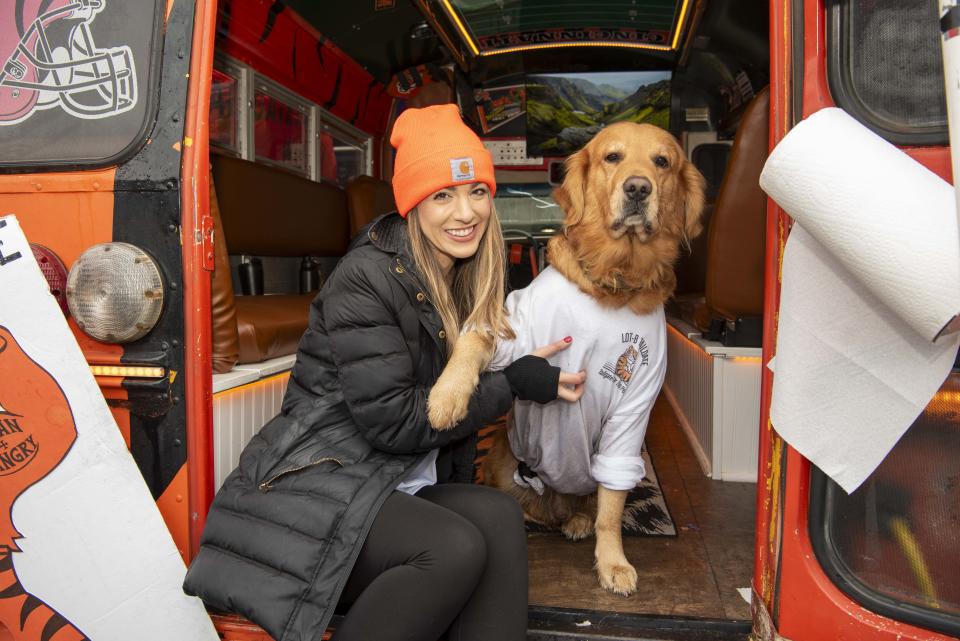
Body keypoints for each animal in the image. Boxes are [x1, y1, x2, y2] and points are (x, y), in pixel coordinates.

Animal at [428, 121, 704, 596]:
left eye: (662, 161)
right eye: (613, 157)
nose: (638, 188)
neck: (614, 282)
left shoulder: (634, 408)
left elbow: (611, 511)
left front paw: (612, 562)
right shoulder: (510, 329)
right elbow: (474, 340)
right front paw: (446, 398)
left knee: (592, 503)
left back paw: (576, 521)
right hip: (502, 460)